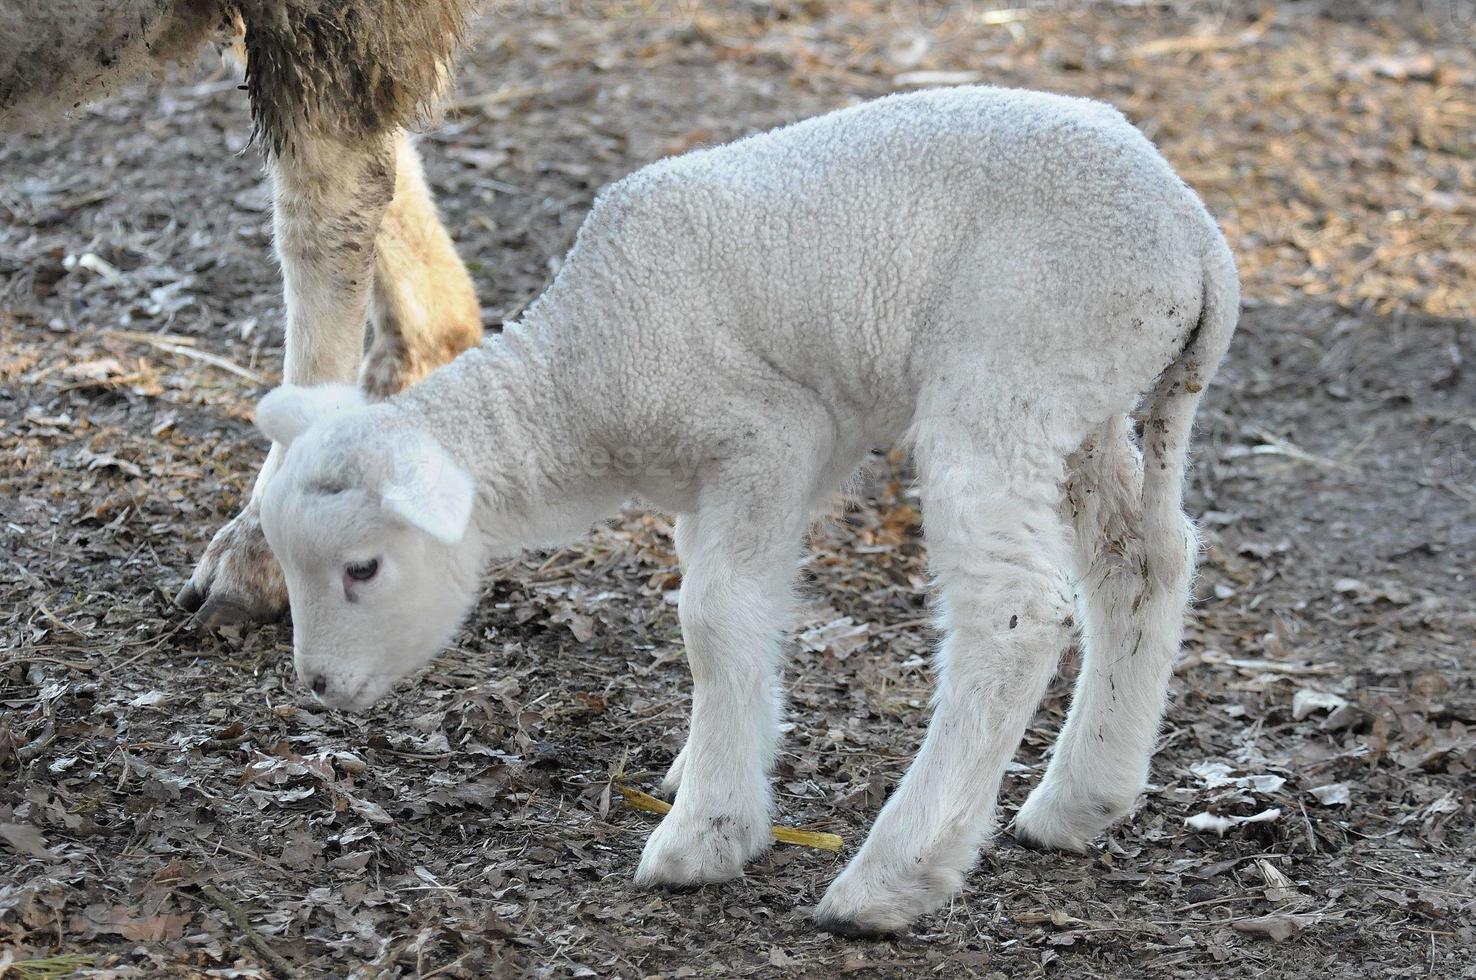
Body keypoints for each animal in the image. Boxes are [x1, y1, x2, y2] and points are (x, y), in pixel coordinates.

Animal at [250, 85, 1233, 932]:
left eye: (363, 568)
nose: (318, 687)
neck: (576, 383)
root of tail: (1195, 237)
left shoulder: (766, 435)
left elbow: (714, 615)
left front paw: (705, 835)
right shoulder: (727, 481)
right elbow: (738, 612)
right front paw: (715, 762)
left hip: (1011, 374)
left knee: (1016, 613)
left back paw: (892, 876)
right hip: (1085, 399)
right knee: (1145, 559)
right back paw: (1081, 800)